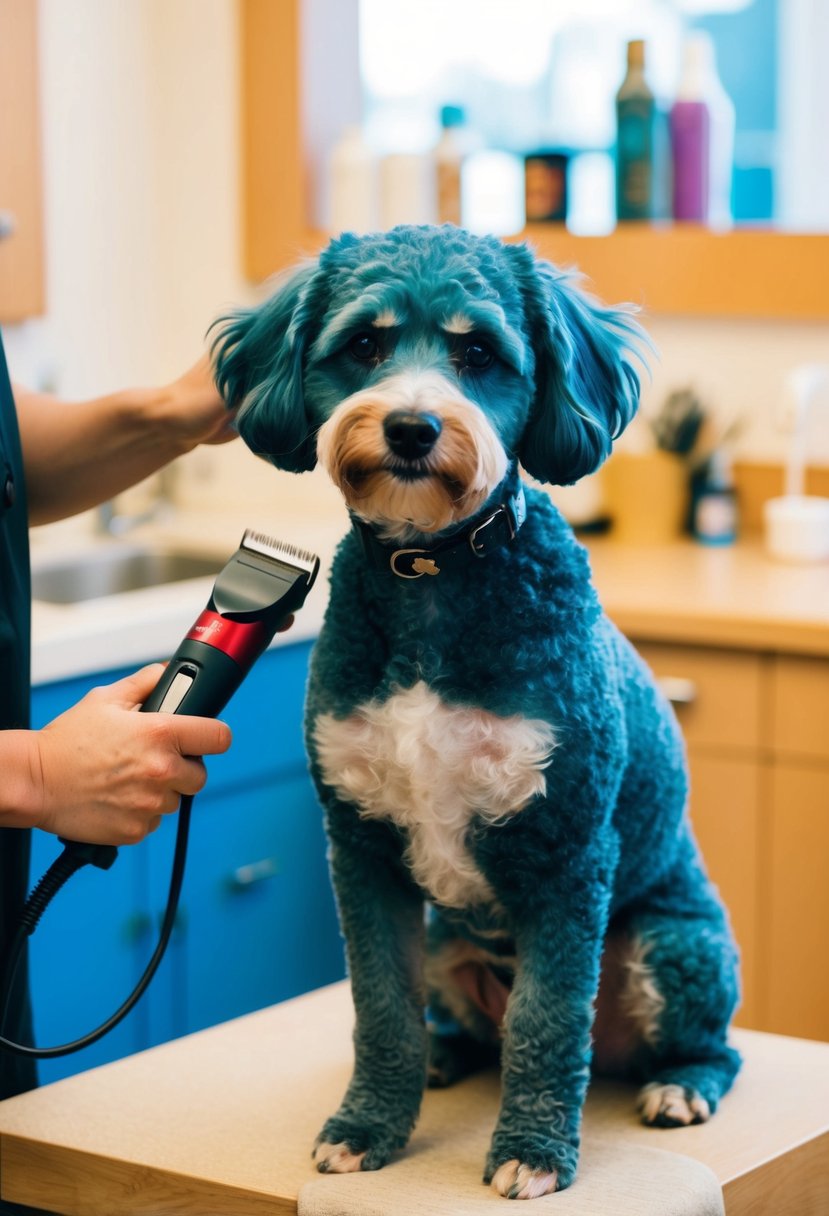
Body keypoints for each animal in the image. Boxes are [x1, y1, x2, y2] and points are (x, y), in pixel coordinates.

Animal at [210, 226, 739, 1196]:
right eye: (365, 345)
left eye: (479, 354)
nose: (411, 427)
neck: (432, 571)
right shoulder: (362, 852)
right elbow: (379, 1007)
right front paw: (367, 1125)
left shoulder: (567, 854)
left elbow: (546, 1023)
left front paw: (532, 1153)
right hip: (444, 940)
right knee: (451, 1021)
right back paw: (443, 1057)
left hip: (671, 950)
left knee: (707, 1049)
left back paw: (678, 1085)